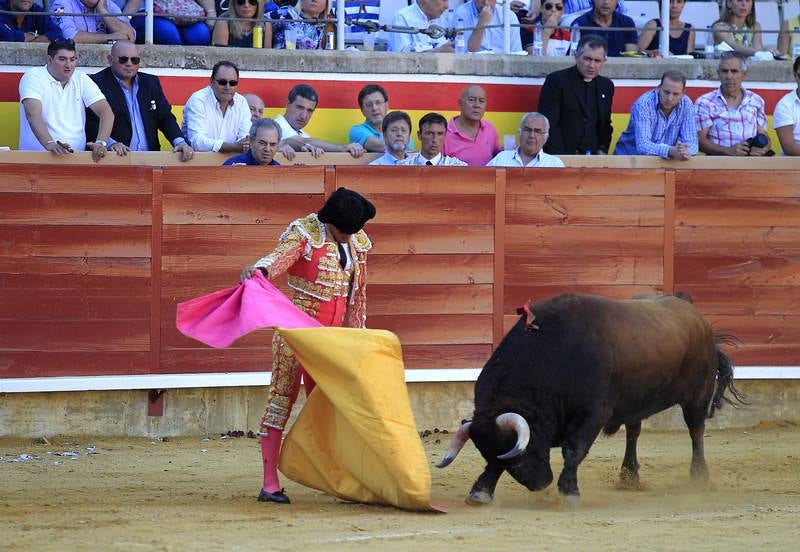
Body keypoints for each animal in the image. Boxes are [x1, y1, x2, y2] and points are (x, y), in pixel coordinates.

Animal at [438, 294, 744, 504]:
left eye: (522, 451)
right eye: (488, 452)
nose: (539, 483)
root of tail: (696, 315)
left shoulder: (592, 414)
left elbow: (574, 449)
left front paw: (569, 491)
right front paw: (480, 491)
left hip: (697, 396)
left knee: (696, 431)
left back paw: (699, 477)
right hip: (635, 403)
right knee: (633, 432)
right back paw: (629, 476)